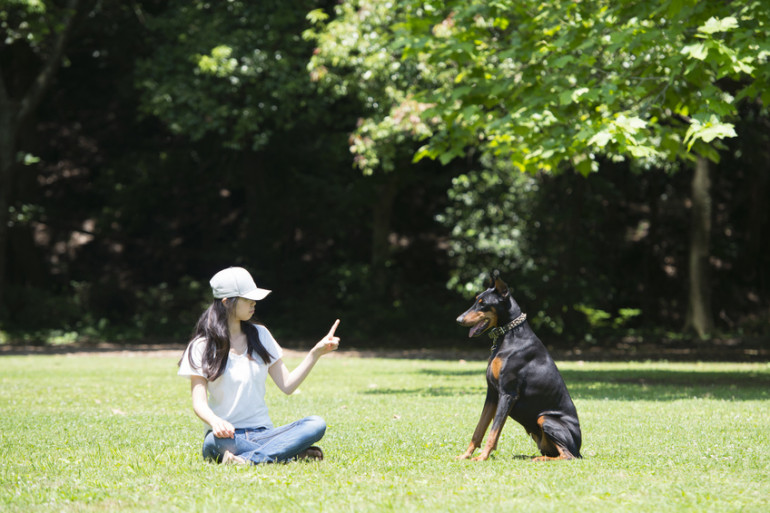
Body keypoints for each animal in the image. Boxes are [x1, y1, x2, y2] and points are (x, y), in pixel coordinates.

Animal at [452, 270, 580, 462]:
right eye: (476, 300)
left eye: (483, 304)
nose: (458, 319)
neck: (508, 335)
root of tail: (579, 447)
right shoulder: (492, 394)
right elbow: (479, 429)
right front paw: (466, 455)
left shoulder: (508, 393)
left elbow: (493, 431)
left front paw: (482, 457)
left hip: (546, 419)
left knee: (568, 455)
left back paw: (540, 459)